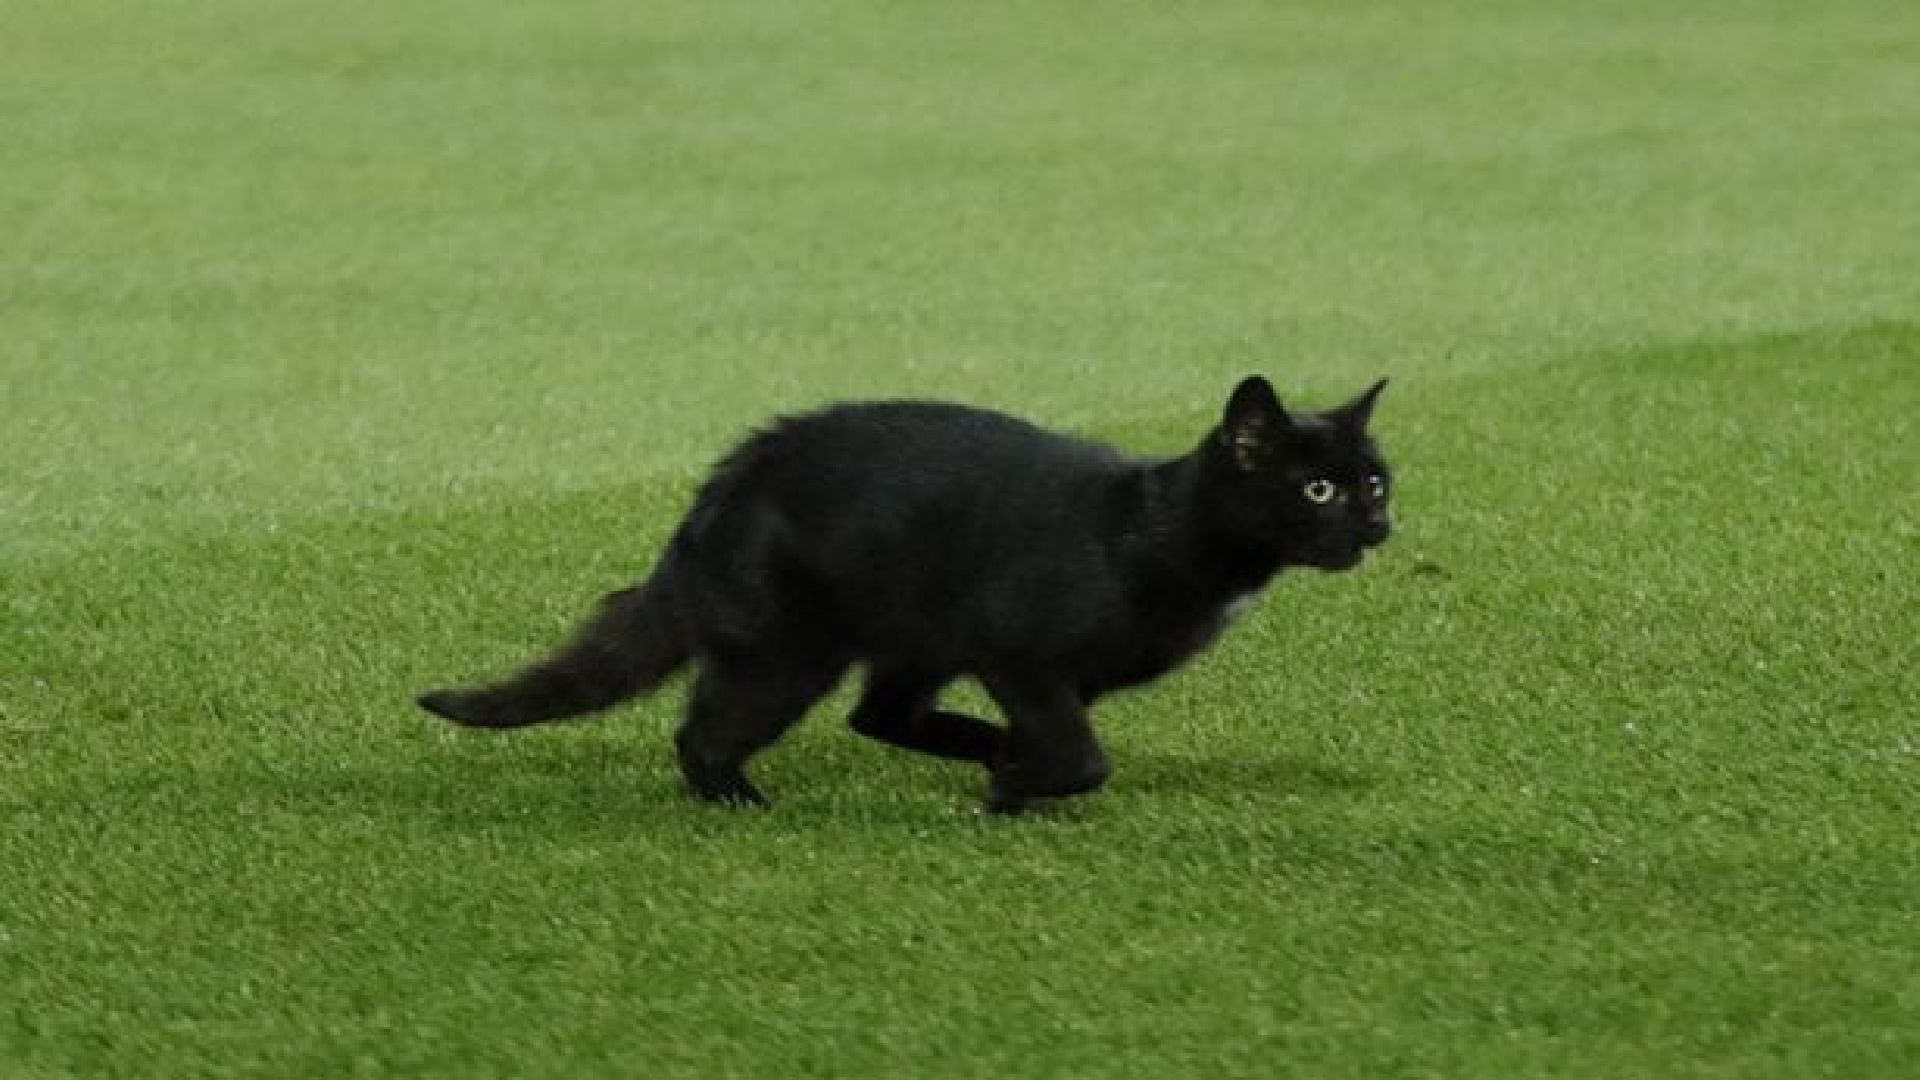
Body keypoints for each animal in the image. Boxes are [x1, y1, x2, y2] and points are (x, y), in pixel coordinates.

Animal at [420, 376, 1390, 807]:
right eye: (1318, 490)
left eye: (1377, 481)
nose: (1380, 525)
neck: (1159, 529)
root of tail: (711, 498)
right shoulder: (1019, 650)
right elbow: (1084, 754)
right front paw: (1019, 789)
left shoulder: (1049, 674)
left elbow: (1063, 740)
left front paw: (1015, 778)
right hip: (787, 654)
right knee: (704, 731)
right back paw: (735, 798)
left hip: (915, 632)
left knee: (879, 714)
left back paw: (985, 748)